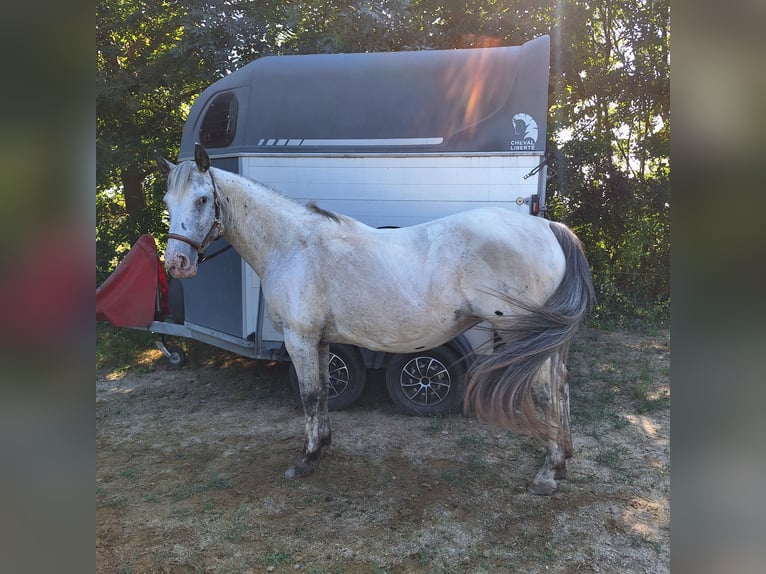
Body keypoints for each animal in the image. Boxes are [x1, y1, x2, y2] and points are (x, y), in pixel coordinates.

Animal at [159, 143, 596, 496]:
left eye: (202, 199)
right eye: (167, 202)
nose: (177, 264)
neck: (293, 244)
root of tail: (548, 227)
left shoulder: (299, 338)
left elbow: (309, 396)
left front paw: (305, 460)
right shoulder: (321, 340)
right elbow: (323, 393)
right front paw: (324, 447)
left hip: (524, 337)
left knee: (548, 392)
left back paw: (547, 474)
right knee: (562, 386)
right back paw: (563, 462)